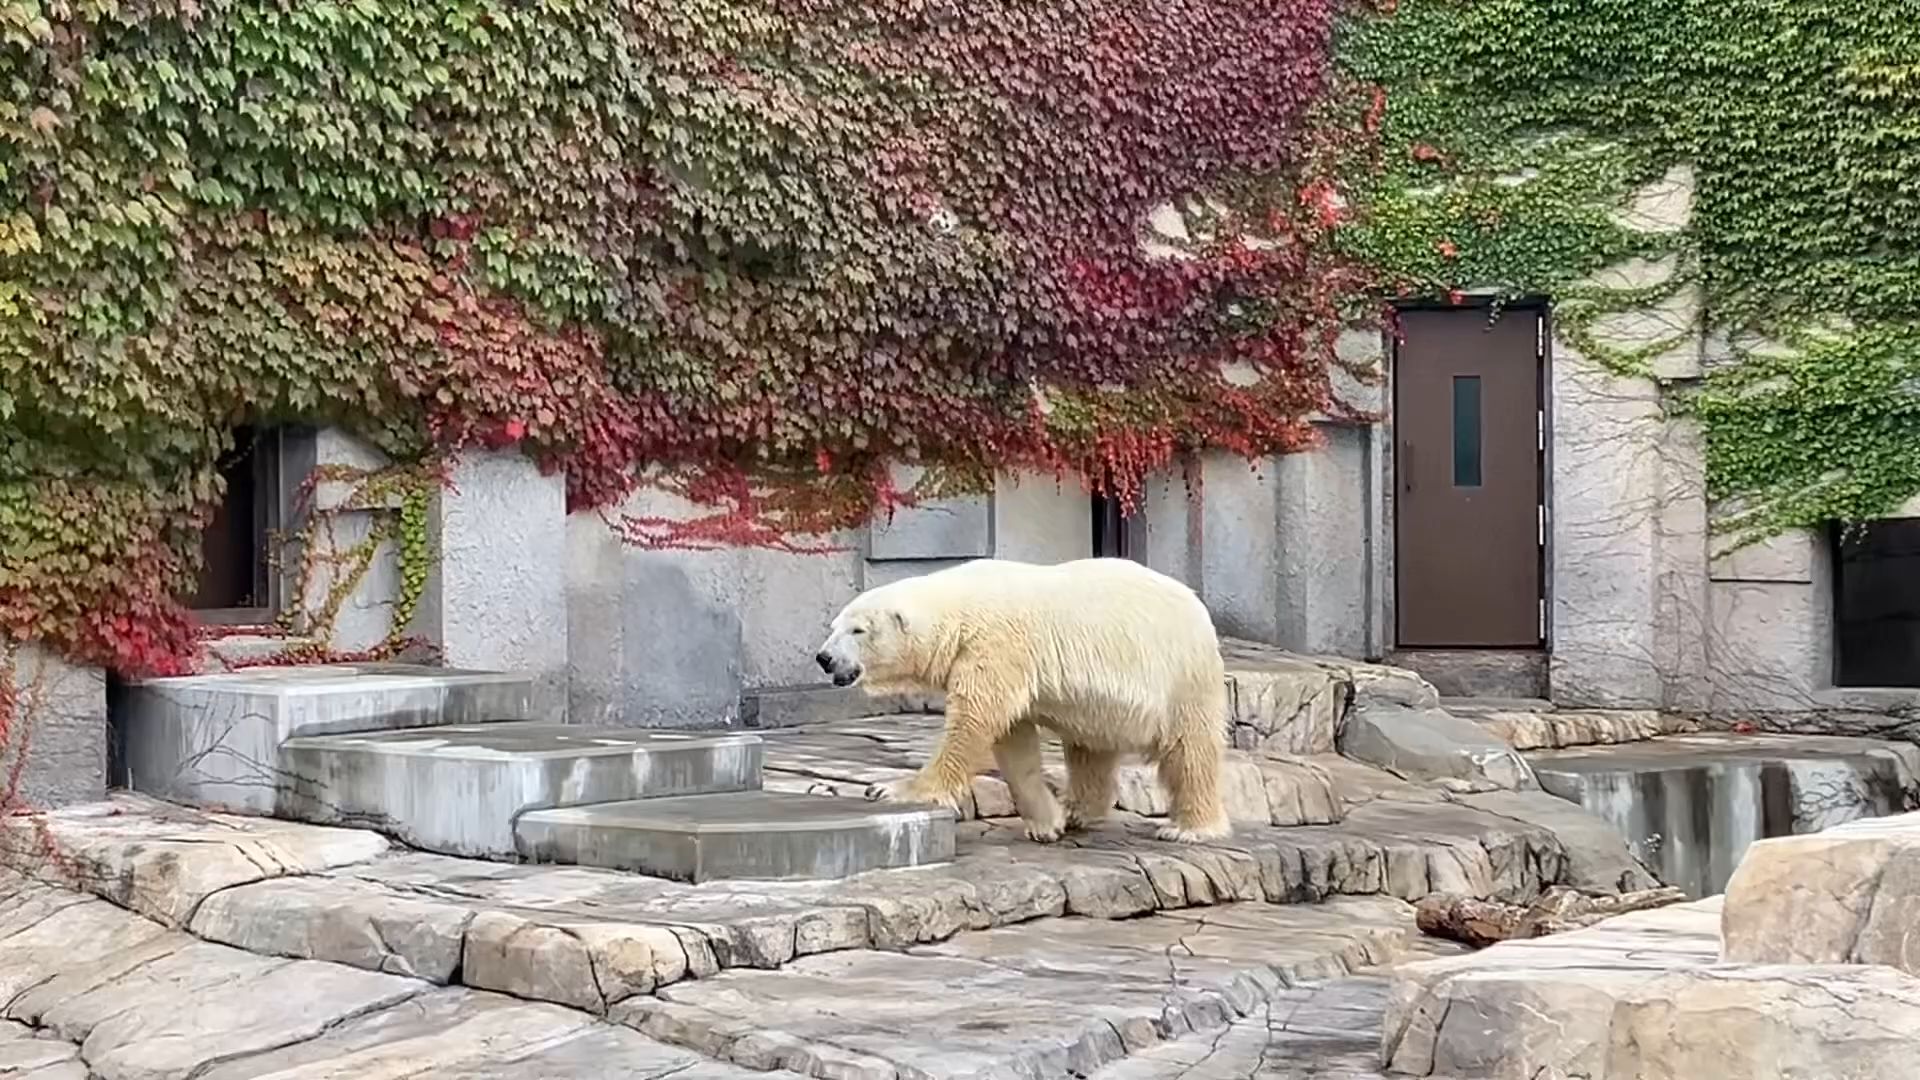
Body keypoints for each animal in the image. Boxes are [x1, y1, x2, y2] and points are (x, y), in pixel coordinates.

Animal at [810, 553, 1228, 841]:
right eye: (834, 626)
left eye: (858, 630)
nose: (825, 658)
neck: (958, 609)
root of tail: (1198, 606)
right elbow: (1014, 742)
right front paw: (1047, 823)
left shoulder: (995, 646)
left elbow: (974, 722)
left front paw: (890, 789)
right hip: (1102, 706)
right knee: (1090, 749)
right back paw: (1077, 810)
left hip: (1180, 676)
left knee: (1189, 750)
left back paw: (1189, 828)